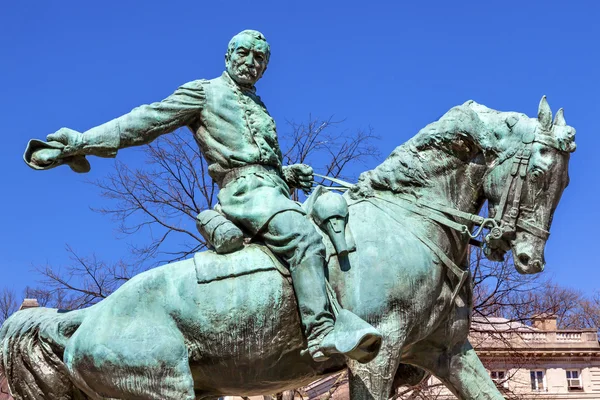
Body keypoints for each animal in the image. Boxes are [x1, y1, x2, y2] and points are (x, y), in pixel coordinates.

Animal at [1, 97, 576, 400]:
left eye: (565, 182)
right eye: (540, 172)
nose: (529, 259)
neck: (408, 219)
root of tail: (84, 317)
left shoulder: (447, 351)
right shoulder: (378, 353)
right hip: (164, 388)